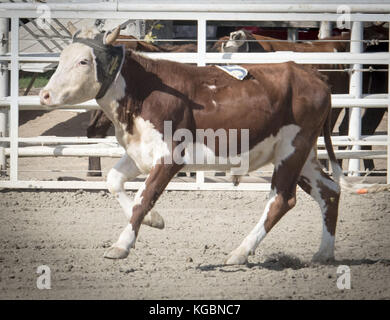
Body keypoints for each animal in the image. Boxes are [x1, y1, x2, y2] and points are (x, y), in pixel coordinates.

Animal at [38, 25, 344, 264]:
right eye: (62, 59)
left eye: (84, 62)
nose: (45, 94)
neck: (144, 90)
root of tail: (315, 78)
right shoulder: (140, 153)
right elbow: (114, 181)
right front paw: (154, 220)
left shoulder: (171, 157)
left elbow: (144, 198)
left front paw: (121, 245)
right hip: (301, 155)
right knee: (329, 191)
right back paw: (324, 253)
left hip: (292, 151)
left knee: (281, 199)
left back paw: (240, 252)